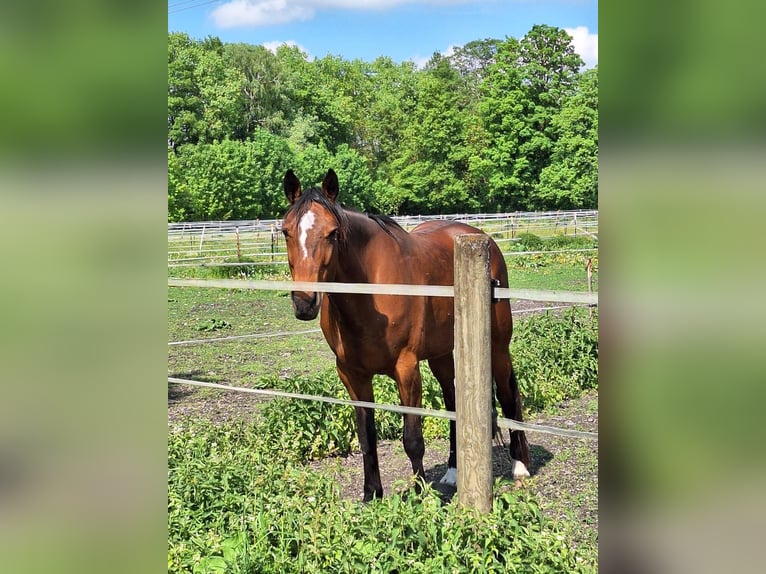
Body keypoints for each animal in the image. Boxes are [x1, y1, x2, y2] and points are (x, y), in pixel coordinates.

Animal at [281, 168, 530, 501]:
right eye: (286, 231)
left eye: (332, 233)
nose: (305, 302)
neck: (370, 293)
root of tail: (483, 239)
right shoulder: (352, 375)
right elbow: (366, 437)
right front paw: (372, 494)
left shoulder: (407, 369)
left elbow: (412, 439)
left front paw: (419, 496)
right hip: (441, 354)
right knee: (453, 402)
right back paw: (453, 471)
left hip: (498, 345)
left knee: (508, 394)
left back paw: (520, 465)